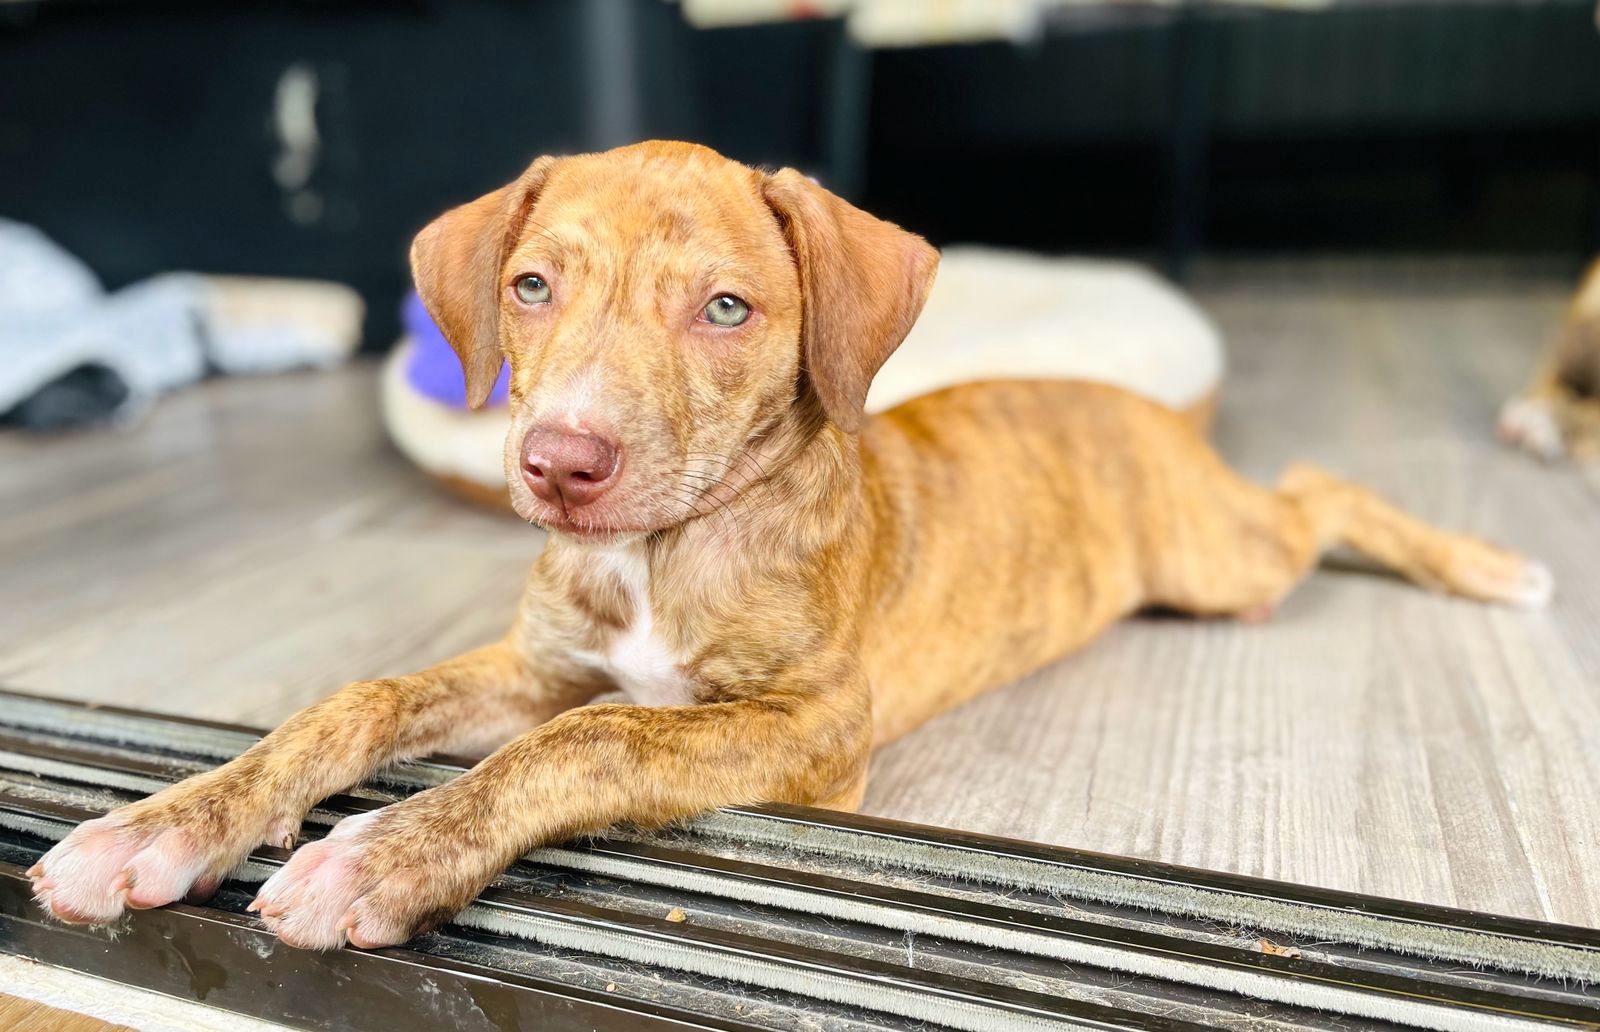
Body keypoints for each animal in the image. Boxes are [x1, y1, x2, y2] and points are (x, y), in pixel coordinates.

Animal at [25, 139, 1548, 947]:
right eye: (531, 286)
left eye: (726, 309)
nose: (559, 464)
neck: (665, 546)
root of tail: (1136, 410)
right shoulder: (539, 661)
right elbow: (361, 702)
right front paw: (162, 827)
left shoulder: (815, 726)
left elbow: (590, 741)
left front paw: (382, 854)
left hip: (1218, 559)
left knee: (1317, 491)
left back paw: (1498, 564)